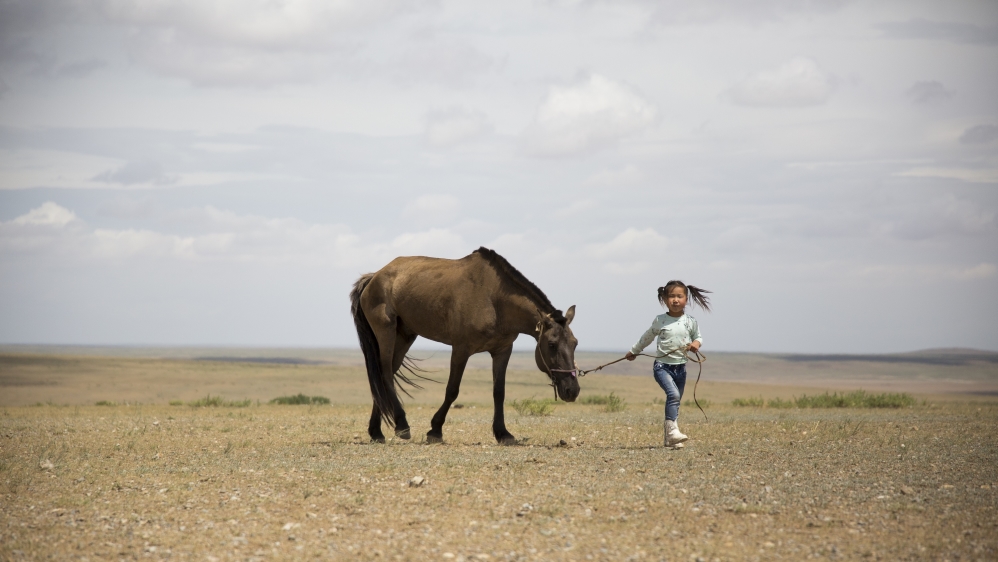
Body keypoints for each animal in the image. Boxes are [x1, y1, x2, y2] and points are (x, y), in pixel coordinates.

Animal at [350, 246, 581, 444]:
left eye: (575, 343)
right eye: (552, 344)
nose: (572, 390)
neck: (495, 299)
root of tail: (374, 277)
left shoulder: (502, 351)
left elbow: (499, 392)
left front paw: (503, 433)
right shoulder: (461, 349)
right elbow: (452, 390)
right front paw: (435, 430)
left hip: (405, 336)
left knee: (384, 375)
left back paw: (376, 432)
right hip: (386, 332)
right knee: (385, 373)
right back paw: (402, 425)